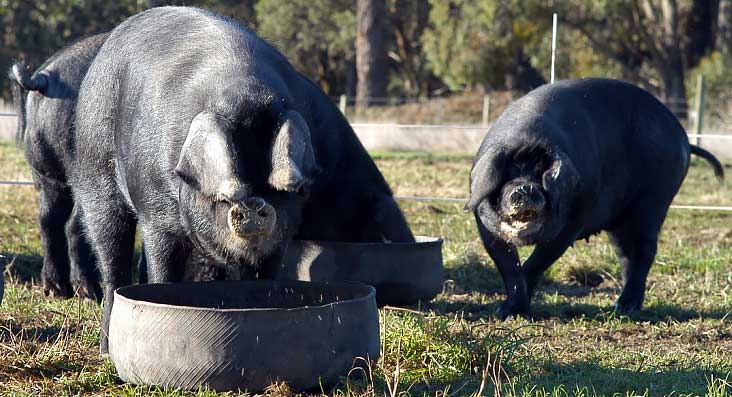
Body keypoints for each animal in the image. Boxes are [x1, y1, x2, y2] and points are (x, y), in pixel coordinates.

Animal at [71, 6, 414, 352]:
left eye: (278, 188)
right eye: (224, 194)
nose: (253, 204)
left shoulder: (281, 238)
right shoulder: (155, 213)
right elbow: (162, 270)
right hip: (94, 174)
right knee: (111, 256)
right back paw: (104, 346)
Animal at [466, 77, 724, 318]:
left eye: (542, 172)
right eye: (509, 172)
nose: (524, 188)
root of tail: (683, 138)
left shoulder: (574, 221)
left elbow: (536, 263)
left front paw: (514, 313)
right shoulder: (484, 224)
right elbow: (509, 266)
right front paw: (504, 313)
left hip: (655, 201)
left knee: (645, 251)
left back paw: (627, 307)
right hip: (619, 222)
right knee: (626, 255)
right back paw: (620, 306)